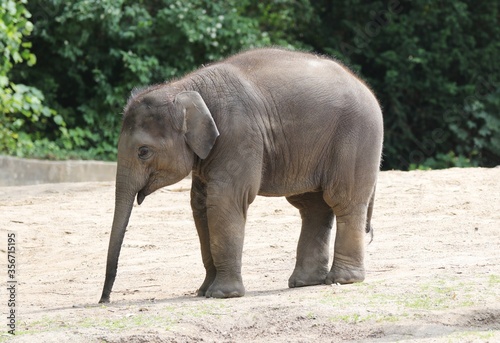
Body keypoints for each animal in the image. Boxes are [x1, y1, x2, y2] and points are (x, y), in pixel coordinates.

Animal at [99, 47, 384, 304]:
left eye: (143, 152)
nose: (104, 299)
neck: (184, 87)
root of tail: (366, 87)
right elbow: (200, 206)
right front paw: (203, 291)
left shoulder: (239, 136)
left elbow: (225, 201)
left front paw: (222, 295)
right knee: (312, 206)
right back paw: (305, 282)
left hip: (356, 137)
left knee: (343, 200)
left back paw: (343, 279)